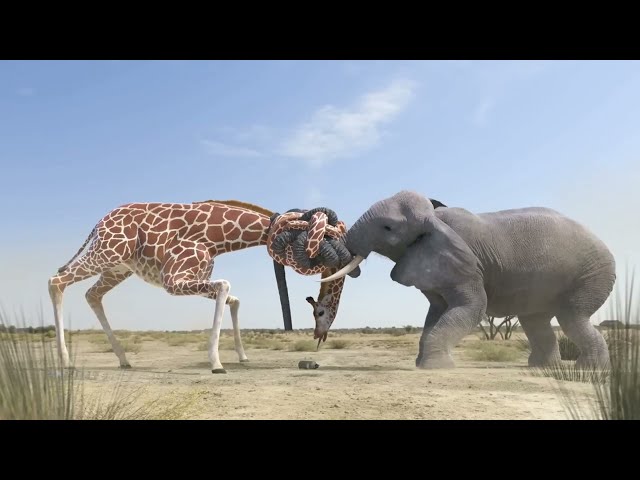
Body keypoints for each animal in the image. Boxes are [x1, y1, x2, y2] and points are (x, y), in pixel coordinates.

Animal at [48, 200, 349, 373]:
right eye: (322, 237)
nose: (321, 331)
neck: (217, 237)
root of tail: (99, 223)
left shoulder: (192, 277)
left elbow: (233, 298)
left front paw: (241, 357)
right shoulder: (172, 280)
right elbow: (226, 286)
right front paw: (217, 364)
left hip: (118, 268)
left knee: (92, 294)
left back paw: (124, 360)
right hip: (107, 253)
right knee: (56, 281)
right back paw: (65, 361)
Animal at [320, 190, 616, 370]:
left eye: (388, 228)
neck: (435, 218)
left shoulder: (467, 265)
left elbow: (472, 308)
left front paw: (435, 368)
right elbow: (435, 312)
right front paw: (423, 364)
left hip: (592, 274)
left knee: (572, 317)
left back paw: (589, 369)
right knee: (535, 321)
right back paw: (543, 367)